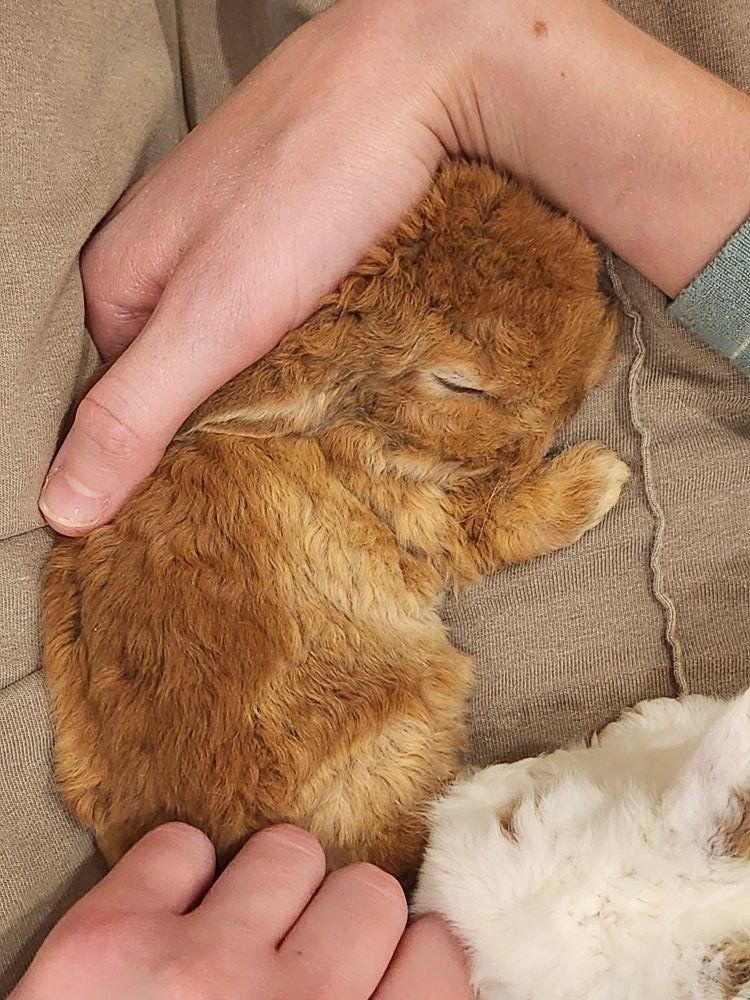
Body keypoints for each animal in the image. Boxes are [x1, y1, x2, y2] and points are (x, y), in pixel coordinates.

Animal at [42, 160, 628, 878]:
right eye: (459, 383)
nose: (603, 346)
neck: (344, 421)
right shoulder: (432, 514)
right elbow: (500, 524)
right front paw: (601, 477)